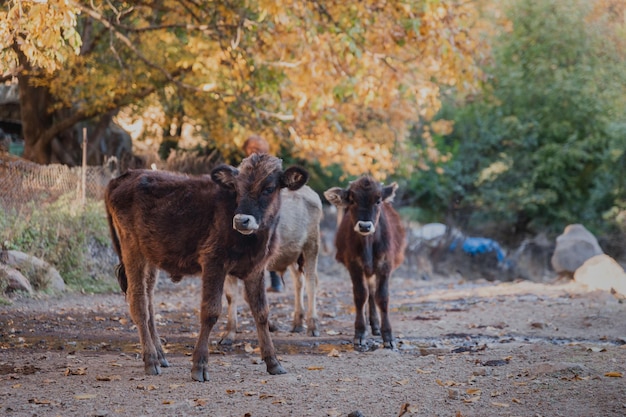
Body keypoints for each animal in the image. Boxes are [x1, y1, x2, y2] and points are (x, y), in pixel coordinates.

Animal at [104, 154, 308, 380]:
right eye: (237, 188)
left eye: (269, 188)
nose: (241, 220)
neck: (254, 241)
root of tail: (124, 176)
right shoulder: (214, 262)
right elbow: (210, 312)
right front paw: (199, 365)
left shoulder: (256, 269)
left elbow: (261, 313)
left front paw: (273, 361)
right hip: (131, 249)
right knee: (138, 302)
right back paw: (150, 360)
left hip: (150, 256)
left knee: (149, 300)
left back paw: (160, 355)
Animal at [322, 175, 404, 348]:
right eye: (352, 200)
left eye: (378, 201)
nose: (365, 226)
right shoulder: (354, 265)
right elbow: (360, 295)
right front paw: (360, 333)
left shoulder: (385, 265)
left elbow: (382, 297)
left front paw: (388, 336)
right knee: (368, 293)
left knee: (373, 293)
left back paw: (376, 326)